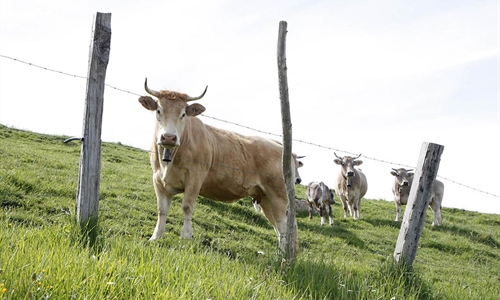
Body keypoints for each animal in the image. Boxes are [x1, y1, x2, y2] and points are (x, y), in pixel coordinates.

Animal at [138, 79, 296, 251]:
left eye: (183, 114)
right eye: (158, 110)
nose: (168, 137)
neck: (169, 162)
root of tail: (279, 145)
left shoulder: (195, 178)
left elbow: (187, 206)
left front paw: (186, 237)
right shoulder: (158, 179)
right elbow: (161, 209)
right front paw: (155, 237)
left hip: (279, 195)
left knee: (284, 226)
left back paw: (284, 255)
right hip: (266, 198)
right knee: (278, 226)